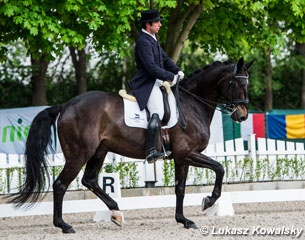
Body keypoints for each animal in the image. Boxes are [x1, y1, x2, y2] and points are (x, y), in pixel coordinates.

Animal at [9, 56, 252, 232]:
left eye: (246, 83)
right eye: (237, 83)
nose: (242, 115)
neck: (192, 104)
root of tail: (66, 105)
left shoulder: (181, 158)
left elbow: (180, 188)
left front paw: (184, 220)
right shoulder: (187, 153)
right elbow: (220, 168)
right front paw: (209, 201)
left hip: (99, 151)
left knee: (90, 180)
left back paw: (116, 212)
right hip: (79, 154)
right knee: (60, 185)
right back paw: (64, 226)